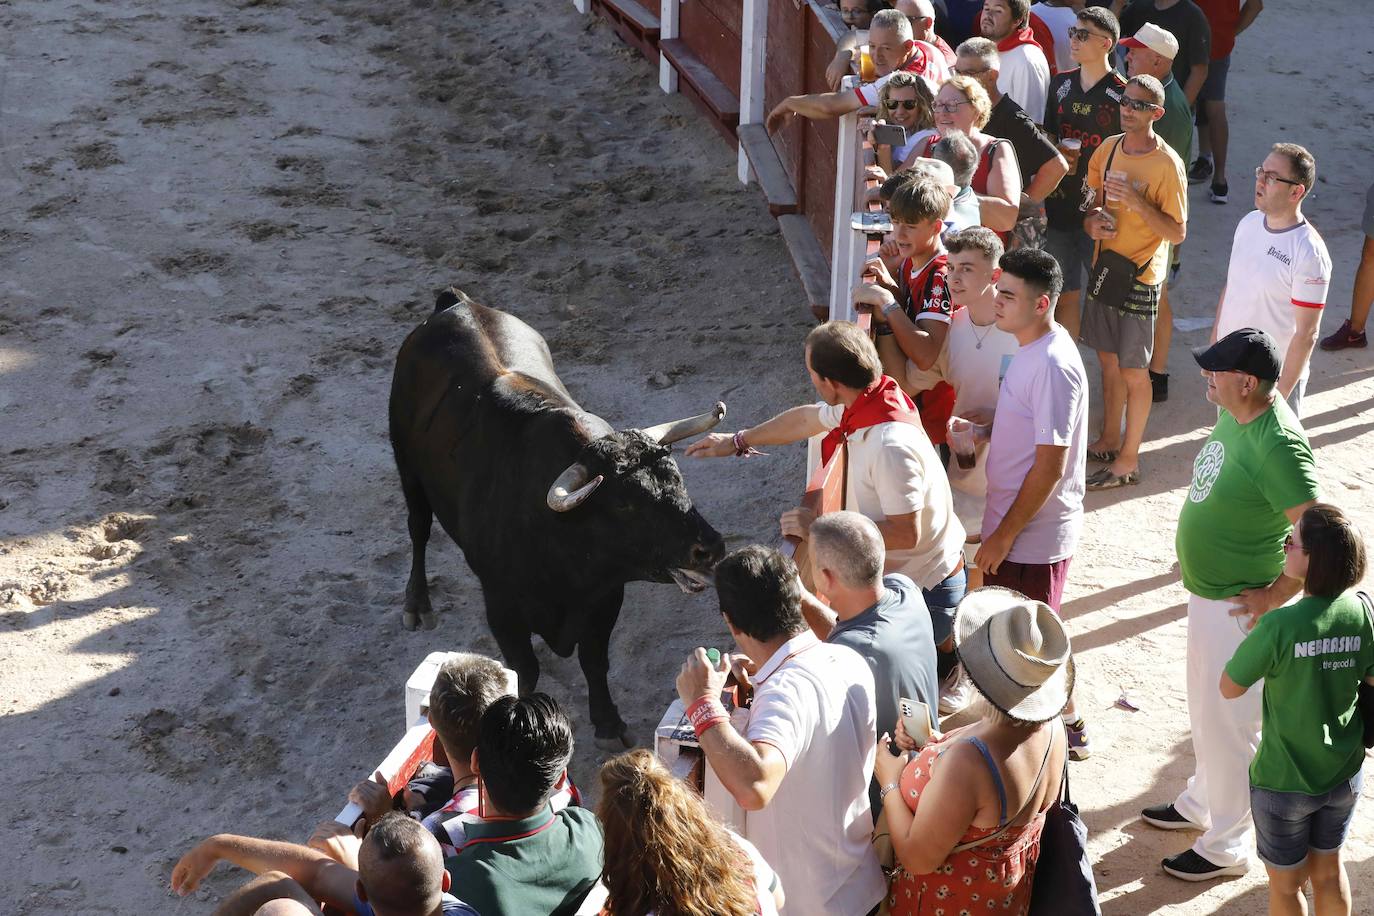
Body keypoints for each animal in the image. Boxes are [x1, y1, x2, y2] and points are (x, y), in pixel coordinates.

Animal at [387, 289, 730, 747]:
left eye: (677, 477)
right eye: (625, 504)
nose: (709, 547)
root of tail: (454, 303)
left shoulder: (605, 597)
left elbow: (594, 661)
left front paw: (609, 722)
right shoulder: (502, 607)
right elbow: (523, 670)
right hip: (407, 467)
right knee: (418, 528)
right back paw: (417, 603)